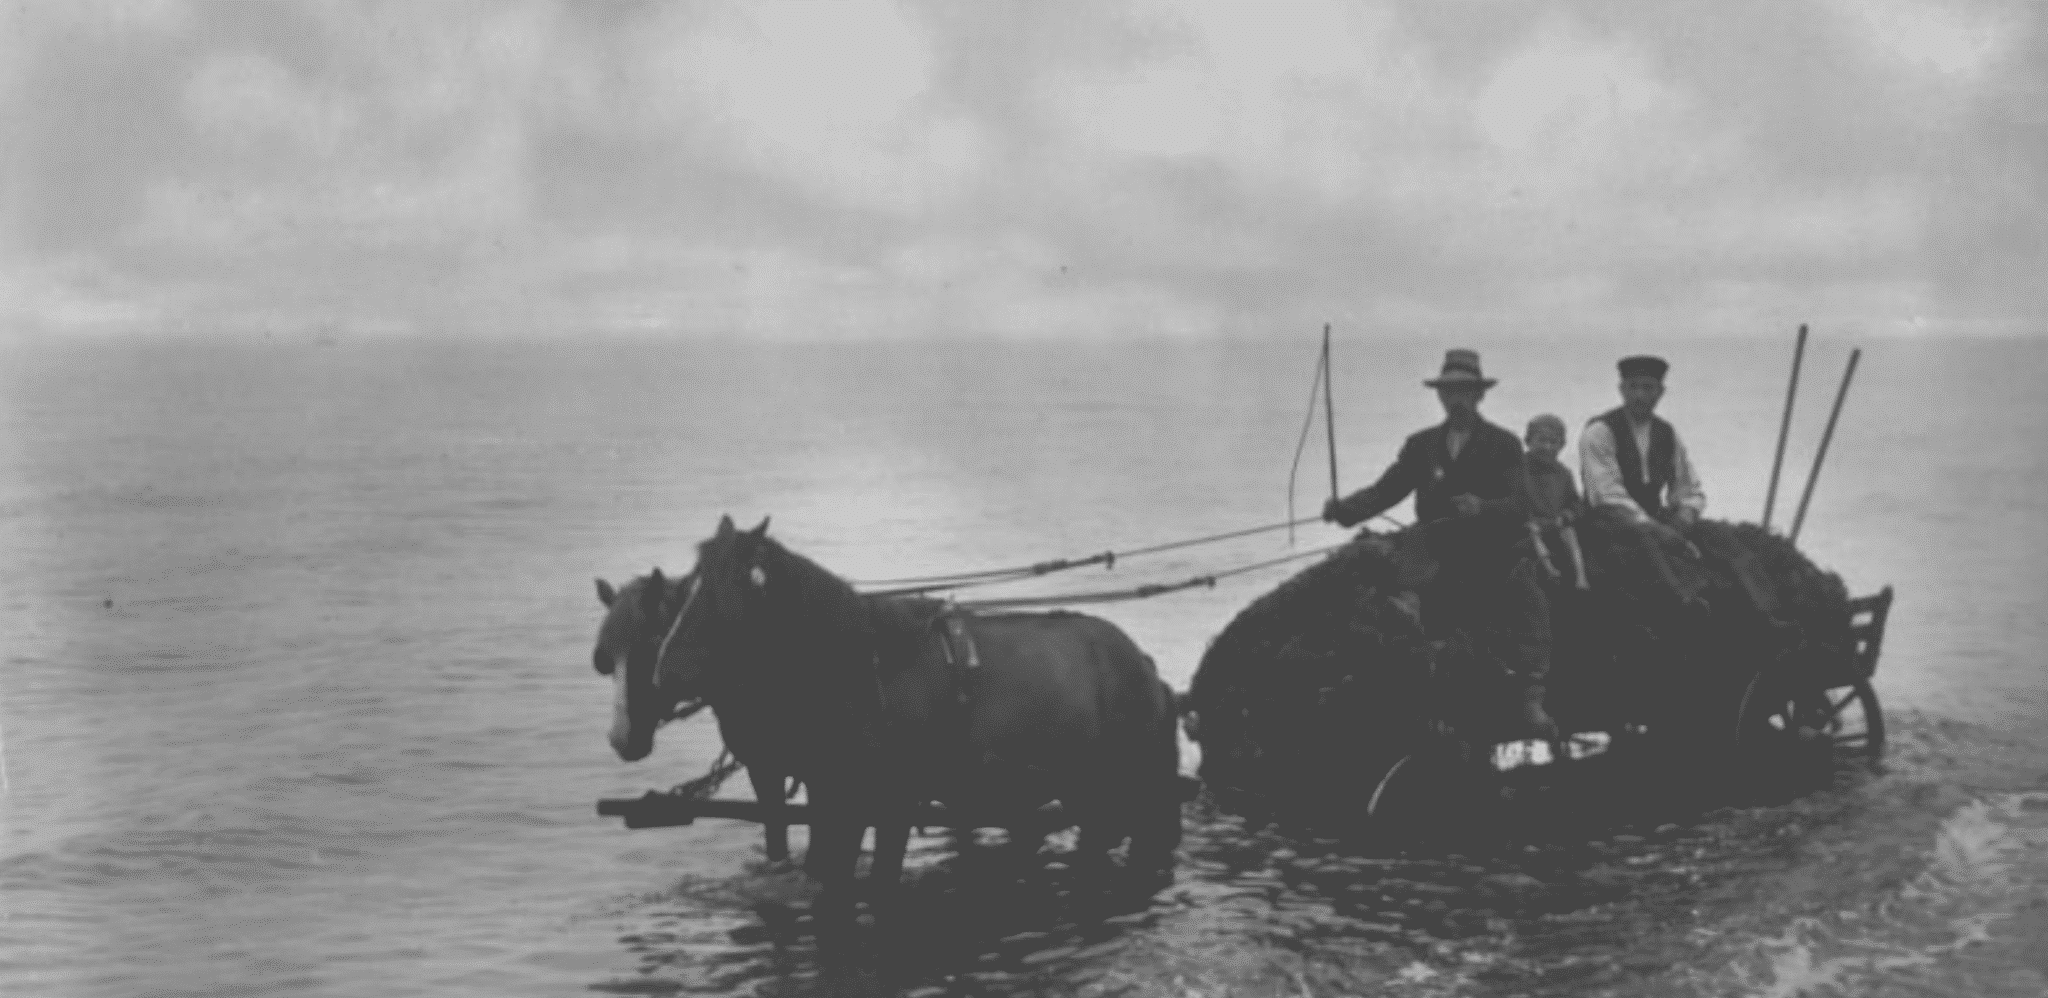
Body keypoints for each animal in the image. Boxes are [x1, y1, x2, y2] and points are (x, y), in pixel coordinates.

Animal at [638, 520, 1187, 918]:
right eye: (685, 589)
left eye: (721, 593)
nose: (664, 671)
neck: (868, 671)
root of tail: (1148, 671)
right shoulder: (833, 799)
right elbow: (829, 875)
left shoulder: (892, 804)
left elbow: (879, 882)